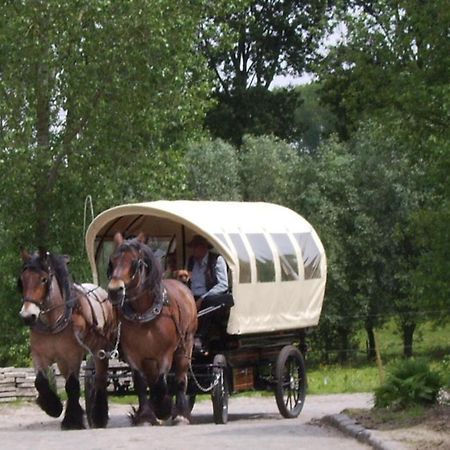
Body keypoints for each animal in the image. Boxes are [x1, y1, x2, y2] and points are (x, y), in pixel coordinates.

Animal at [18, 250, 118, 428]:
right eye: (22, 280)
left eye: (43, 279)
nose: (27, 316)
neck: (53, 324)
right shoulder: (39, 355)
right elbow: (40, 381)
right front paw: (53, 408)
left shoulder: (73, 355)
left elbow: (72, 385)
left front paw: (72, 420)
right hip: (62, 360)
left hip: (99, 349)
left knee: (100, 378)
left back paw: (99, 416)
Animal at [107, 232, 197, 426]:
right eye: (112, 261)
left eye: (135, 262)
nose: (114, 291)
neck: (144, 314)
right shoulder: (134, 355)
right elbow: (141, 383)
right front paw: (146, 415)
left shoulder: (165, 353)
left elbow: (162, 383)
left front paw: (163, 408)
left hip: (186, 343)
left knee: (180, 377)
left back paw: (180, 414)